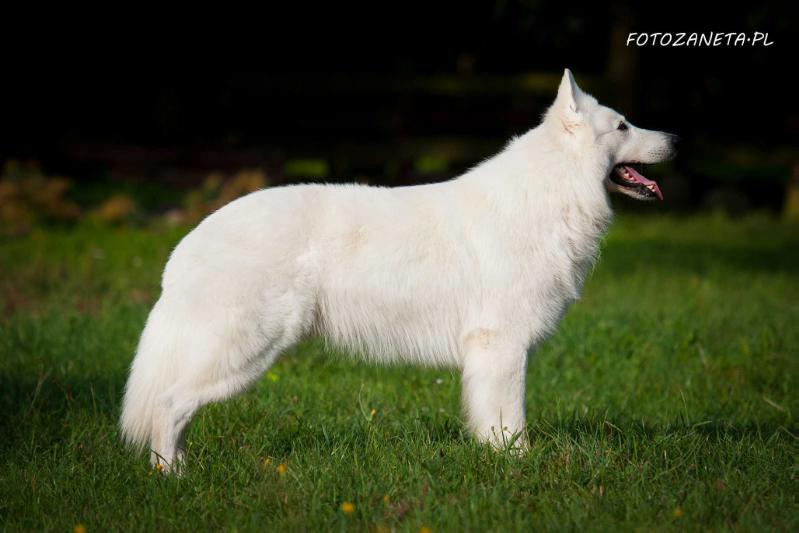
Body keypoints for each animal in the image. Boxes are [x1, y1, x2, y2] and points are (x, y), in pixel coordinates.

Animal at [122, 68, 680, 472]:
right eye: (624, 126)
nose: (676, 139)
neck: (551, 190)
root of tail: (188, 243)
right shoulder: (501, 347)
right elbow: (508, 421)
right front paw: (519, 467)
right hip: (245, 350)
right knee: (168, 405)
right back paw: (173, 477)